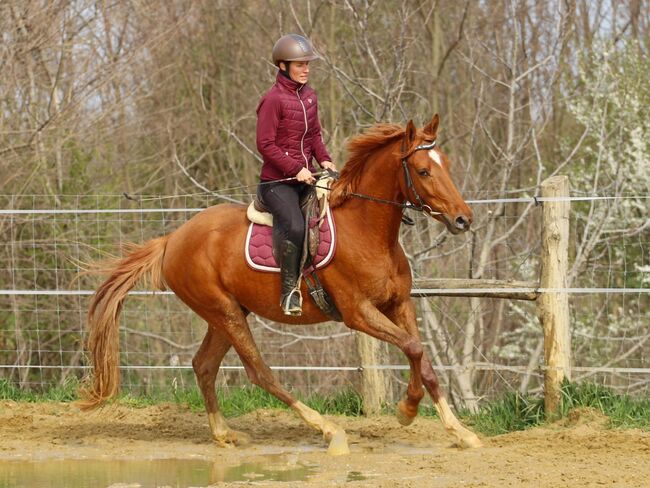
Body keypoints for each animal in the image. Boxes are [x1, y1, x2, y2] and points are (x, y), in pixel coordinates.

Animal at [79, 114, 482, 455]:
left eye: (446, 164)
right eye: (424, 170)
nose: (463, 219)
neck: (367, 231)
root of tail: (171, 240)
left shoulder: (399, 304)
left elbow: (422, 359)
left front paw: (459, 431)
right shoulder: (358, 313)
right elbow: (413, 348)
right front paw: (407, 409)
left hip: (227, 313)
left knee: (204, 366)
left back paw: (223, 433)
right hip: (225, 312)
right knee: (260, 373)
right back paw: (329, 430)